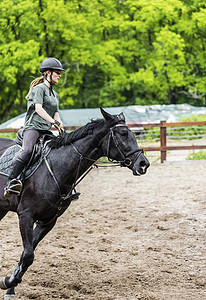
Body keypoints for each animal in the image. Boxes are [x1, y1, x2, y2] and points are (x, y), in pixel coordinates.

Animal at [0, 108, 149, 298]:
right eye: (123, 133)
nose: (143, 163)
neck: (57, 168)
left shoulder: (48, 221)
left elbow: (26, 255)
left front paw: (10, 285)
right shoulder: (26, 215)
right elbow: (27, 254)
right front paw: (8, 282)